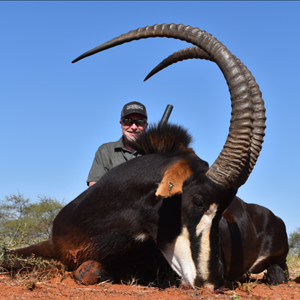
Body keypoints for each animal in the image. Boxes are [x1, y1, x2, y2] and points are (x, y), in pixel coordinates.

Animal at [8, 22, 288, 288]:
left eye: (223, 211)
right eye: (198, 200)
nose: (214, 282)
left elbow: (89, 270)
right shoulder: (52, 245)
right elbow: (8, 257)